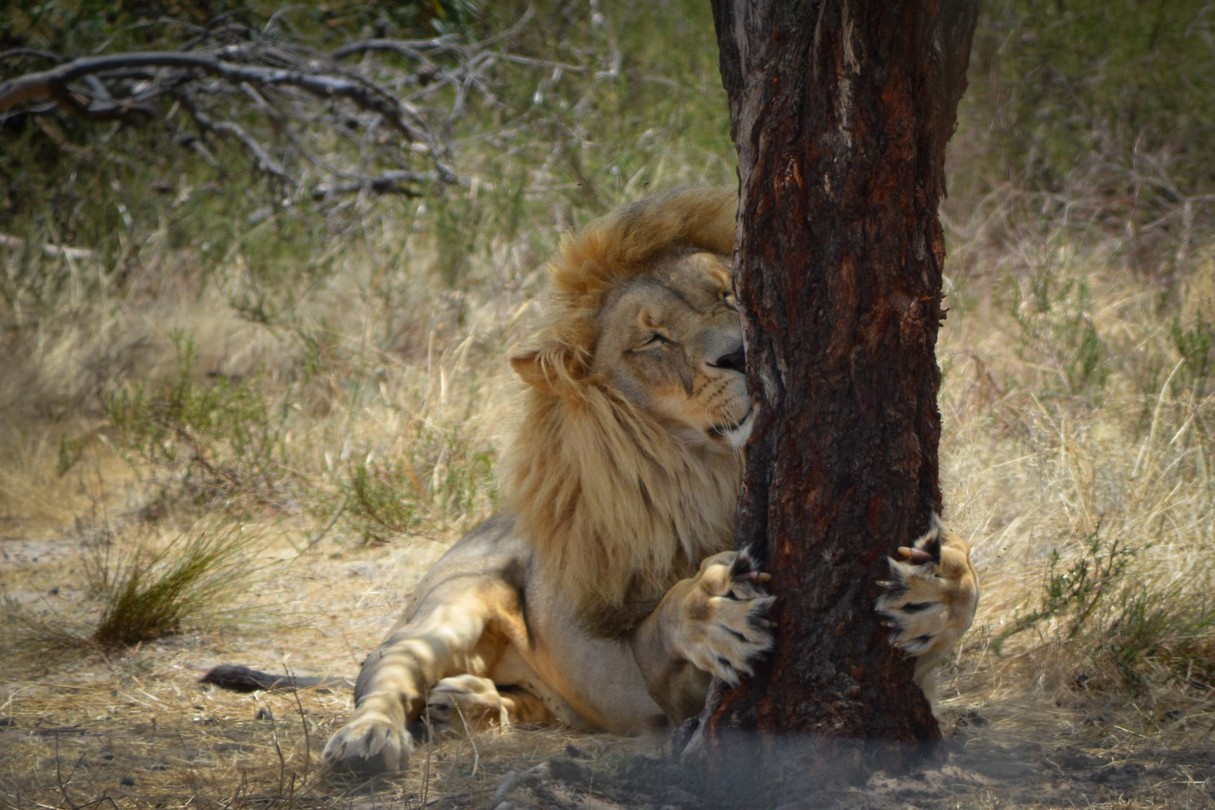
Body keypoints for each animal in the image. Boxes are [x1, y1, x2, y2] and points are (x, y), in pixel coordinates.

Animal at [213, 187, 979, 774]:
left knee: (505, 700)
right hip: (448, 607)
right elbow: (666, 621)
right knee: (382, 678)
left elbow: (956, 596)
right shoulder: (632, 672)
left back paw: (465, 705)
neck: (713, 467)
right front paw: (710, 606)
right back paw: (372, 738)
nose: (739, 353)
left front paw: (935, 589)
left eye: (730, 294)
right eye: (653, 341)